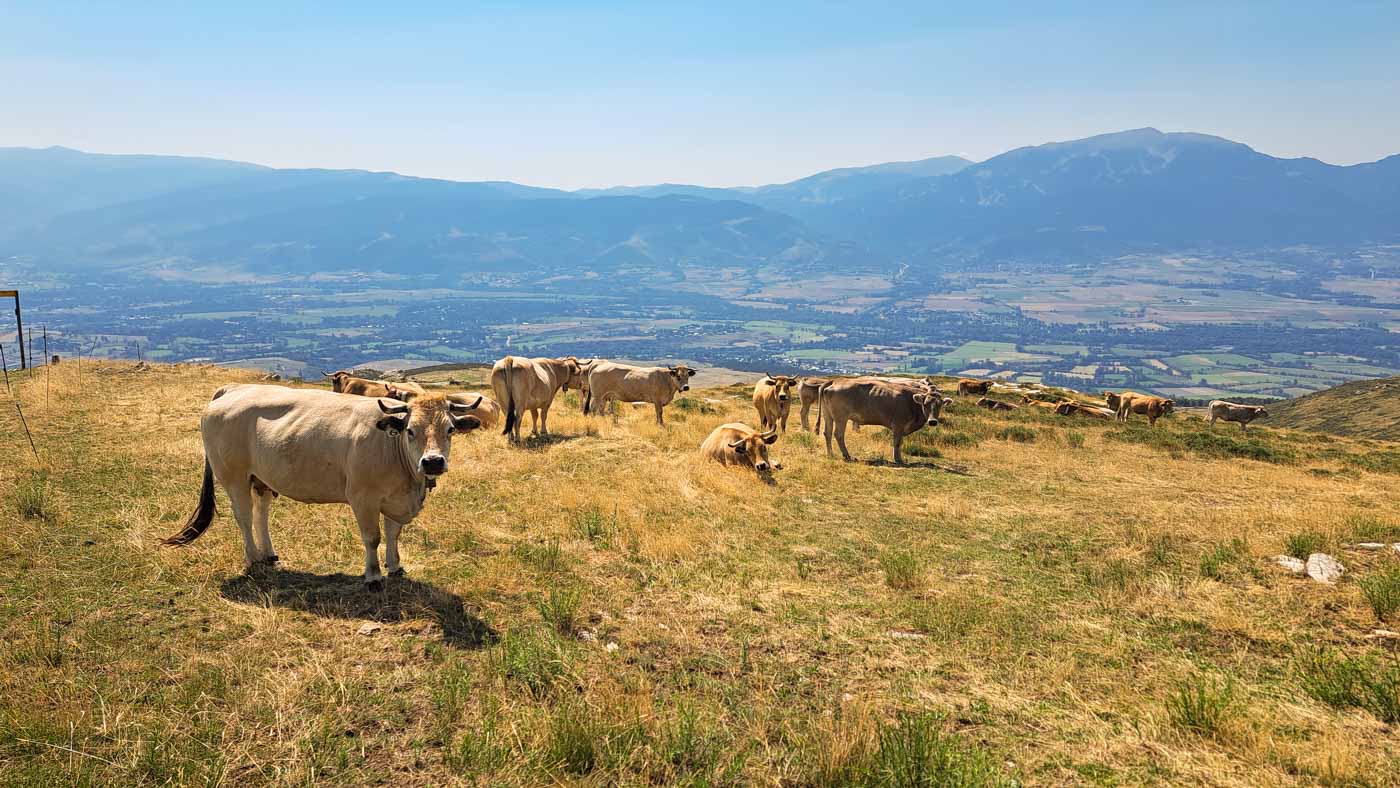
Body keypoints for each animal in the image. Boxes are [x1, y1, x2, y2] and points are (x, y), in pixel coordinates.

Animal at [162, 385, 482, 587]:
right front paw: (373, 576)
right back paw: (252, 558)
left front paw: (395, 566)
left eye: (450, 429)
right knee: (243, 516)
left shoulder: (395, 499)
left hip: (261, 477)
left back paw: (269, 554)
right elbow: (373, 538)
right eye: (410, 430)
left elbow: (393, 534)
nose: (433, 462)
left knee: (261, 512)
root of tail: (233, 389)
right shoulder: (363, 498)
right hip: (233, 476)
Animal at [818, 379, 951, 464]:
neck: (911, 402)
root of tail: (835, 381)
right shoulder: (898, 425)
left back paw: (830, 454)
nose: (933, 421)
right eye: (925, 404)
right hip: (841, 417)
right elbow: (897, 442)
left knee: (827, 433)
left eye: (939, 404)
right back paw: (847, 456)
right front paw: (898, 459)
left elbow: (900, 442)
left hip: (828, 415)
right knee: (838, 434)